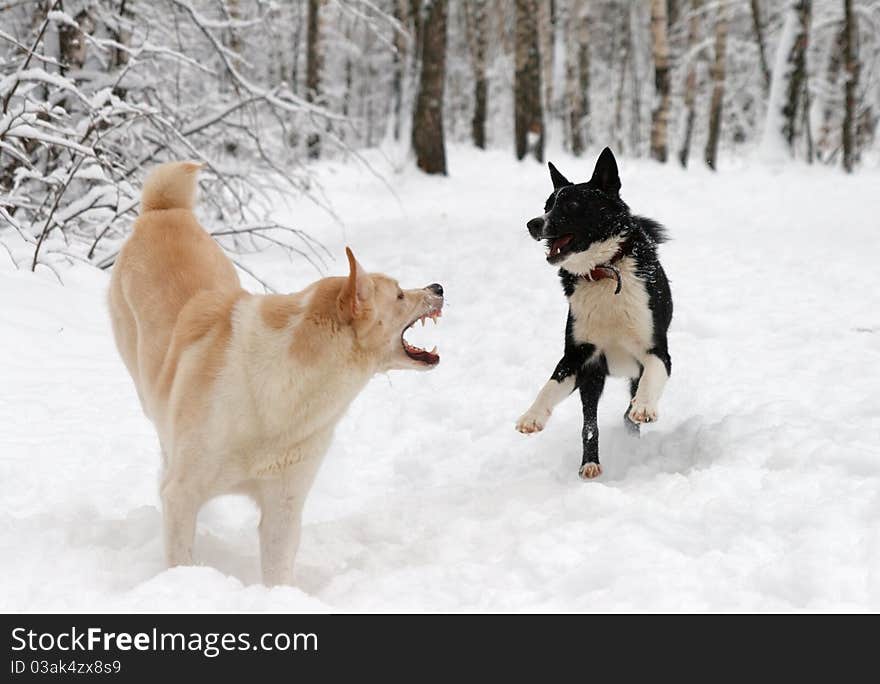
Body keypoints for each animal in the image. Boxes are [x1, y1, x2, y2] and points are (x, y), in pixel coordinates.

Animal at [107, 160, 444, 584]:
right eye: (399, 295)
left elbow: (278, 571)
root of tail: (164, 211)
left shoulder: (284, 505)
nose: (439, 287)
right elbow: (180, 555)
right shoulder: (182, 495)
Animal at [516, 148, 672, 480]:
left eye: (572, 205)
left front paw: (645, 407)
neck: (603, 272)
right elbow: (550, 386)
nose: (533, 223)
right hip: (593, 380)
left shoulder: (657, 351)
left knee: (628, 410)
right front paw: (532, 416)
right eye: (547, 206)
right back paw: (590, 463)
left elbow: (653, 375)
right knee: (590, 423)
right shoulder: (580, 357)